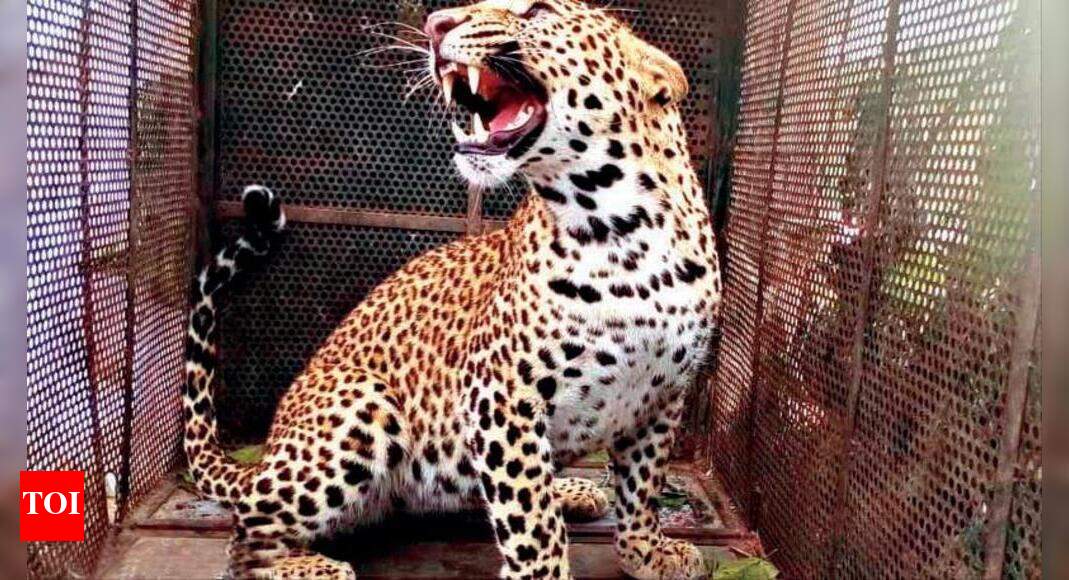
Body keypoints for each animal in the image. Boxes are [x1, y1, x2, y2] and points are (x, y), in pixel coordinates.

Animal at [182, 0, 722, 578]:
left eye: (536, 9)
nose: (436, 24)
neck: (627, 233)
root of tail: (265, 456)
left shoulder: (662, 397)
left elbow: (642, 487)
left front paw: (648, 553)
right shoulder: (501, 395)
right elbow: (532, 520)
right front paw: (547, 568)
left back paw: (573, 490)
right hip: (362, 405)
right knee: (242, 538)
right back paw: (309, 566)